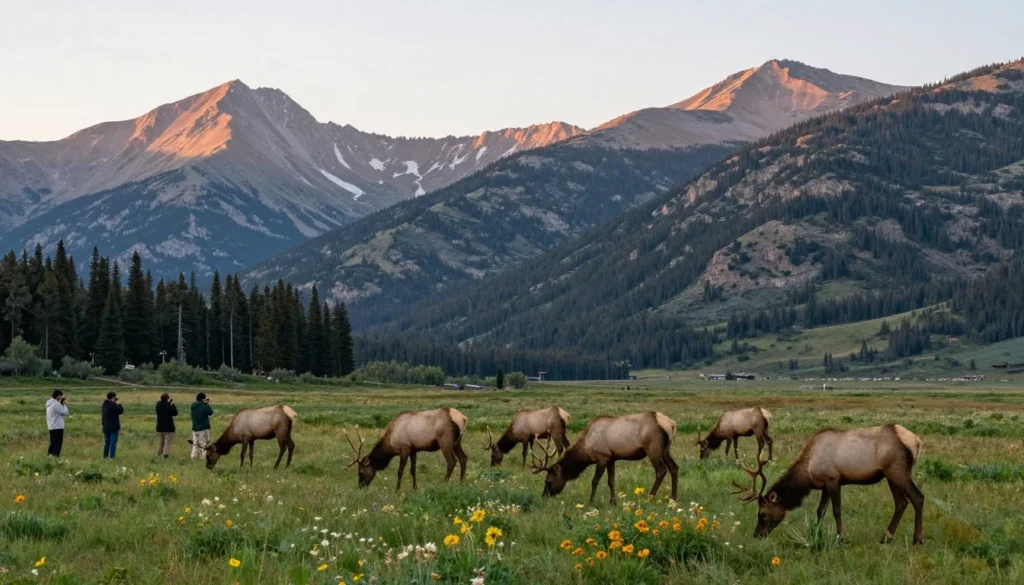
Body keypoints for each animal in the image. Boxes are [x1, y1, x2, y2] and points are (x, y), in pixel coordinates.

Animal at [531, 411, 678, 504]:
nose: (544, 496)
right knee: (674, 467)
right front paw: (613, 502)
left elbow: (595, 480)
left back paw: (650, 497)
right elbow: (611, 481)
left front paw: (591, 501)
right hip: (666, 449)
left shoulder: (602, 457)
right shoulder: (611, 458)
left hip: (653, 449)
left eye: (548, 481)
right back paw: (673, 498)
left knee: (661, 470)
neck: (587, 451)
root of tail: (671, 424)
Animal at [733, 424, 924, 545]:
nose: (757, 535)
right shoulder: (824, 484)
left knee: (917, 497)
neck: (808, 472)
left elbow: (836, 510)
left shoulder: (834, 480)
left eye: (763, 514)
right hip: (890, 476)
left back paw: (917, 540)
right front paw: (815, 534)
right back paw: (886, 538)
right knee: (901, 503)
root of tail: (916, 441)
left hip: (897, 472)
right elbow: (820, 511)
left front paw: (840, 537)